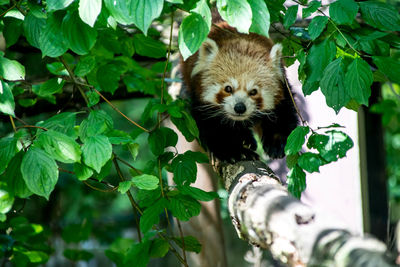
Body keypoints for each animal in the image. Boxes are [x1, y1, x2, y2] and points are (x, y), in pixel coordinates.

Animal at [180, 21, 298, 163]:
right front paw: (236, 151)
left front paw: (276, 142)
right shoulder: (200, 98)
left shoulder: (282, 87)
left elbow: (283, 112)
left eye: (253, 91)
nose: (240, 107)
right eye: (228, 88)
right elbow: (213, 129)